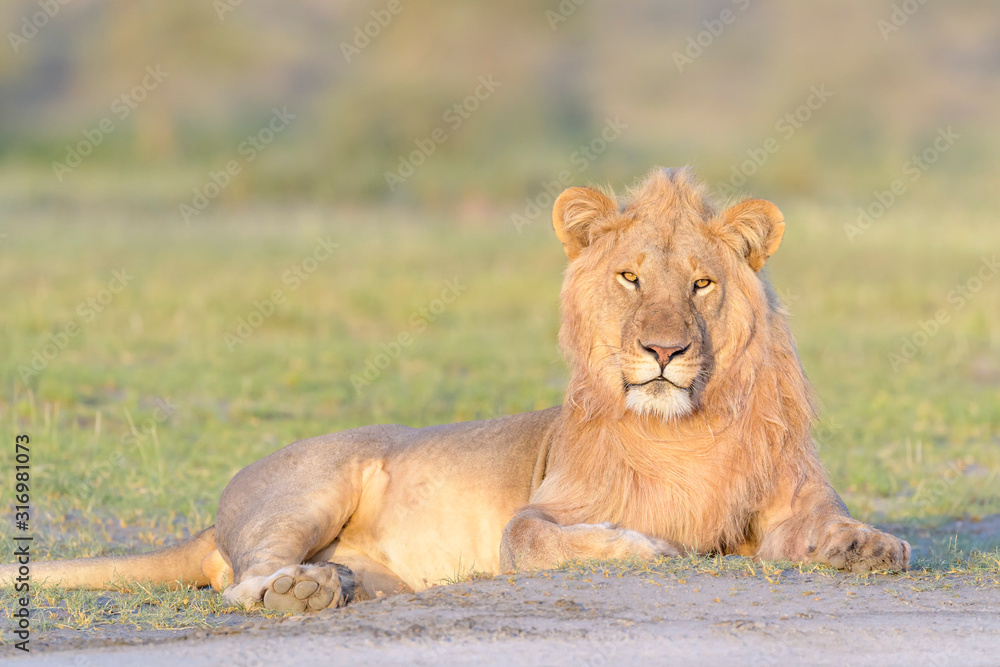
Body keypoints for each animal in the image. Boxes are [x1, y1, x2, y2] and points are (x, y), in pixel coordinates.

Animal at [1, 167, 909, 612]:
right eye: (629, 277)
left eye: (701, 284)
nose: (663, 349)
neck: (687, 424)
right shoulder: (540, 513)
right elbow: (537, 538)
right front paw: (649, 545)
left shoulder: (786, 498)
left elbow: (826, 528)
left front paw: (868, 545)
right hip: (310, 483)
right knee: (244, 574)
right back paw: (293, 592)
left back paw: (327, 587)